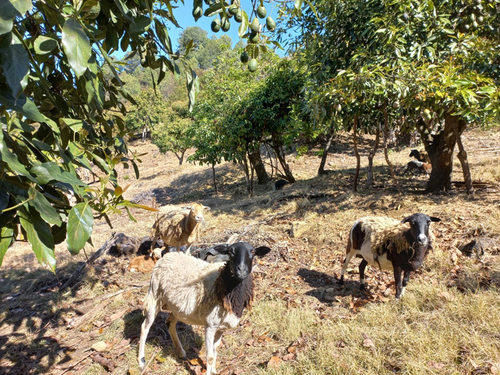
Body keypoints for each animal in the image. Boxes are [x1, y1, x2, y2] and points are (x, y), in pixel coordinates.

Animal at [137, 242, 272, 374]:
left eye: (253, 252)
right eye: (230, 251)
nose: (241, 271)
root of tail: (167, 256)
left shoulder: (221, 327)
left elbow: (215, 350)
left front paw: (214, 371)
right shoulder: (210, 326)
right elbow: (210, 357)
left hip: (176, 307)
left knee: (169, 322)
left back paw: (181, 353)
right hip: (155, 294)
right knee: (145, 327)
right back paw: (141, 362)